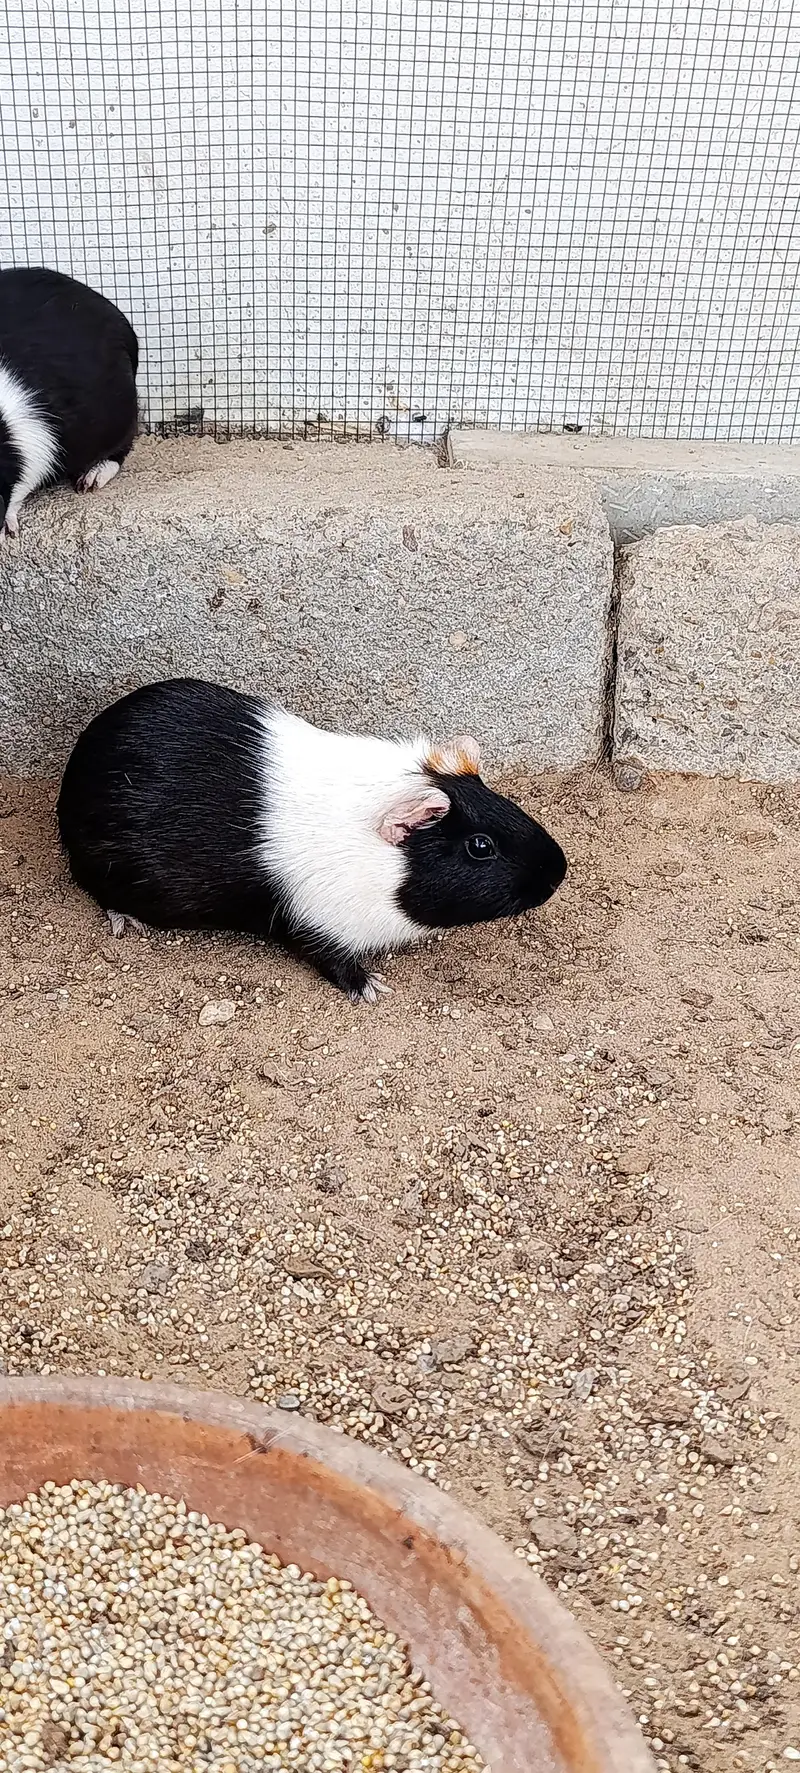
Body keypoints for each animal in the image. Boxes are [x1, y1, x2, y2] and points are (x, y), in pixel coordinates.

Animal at [57, 679, 568, 1001]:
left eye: (506, 803)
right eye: (480, 846)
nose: (557, 871)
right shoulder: (317, 924)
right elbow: (332, 961)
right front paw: (374, 990)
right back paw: (127, 922)